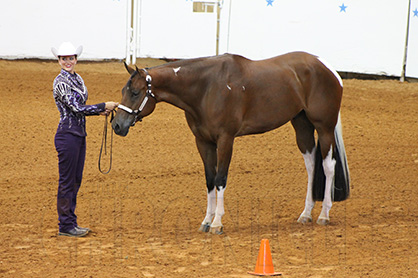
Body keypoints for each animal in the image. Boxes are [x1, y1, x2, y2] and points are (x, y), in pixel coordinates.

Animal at [111, 51, 350, 233]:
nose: (117, 125)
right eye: (123, 91)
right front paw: (206, 221)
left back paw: (324, 215)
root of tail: (329, 69)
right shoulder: (203, 142)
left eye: (135, 92)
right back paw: (305, 214)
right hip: (302, 126)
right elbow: (209, 179)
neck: (206, 88)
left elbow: (220, 178)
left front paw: (217, 223)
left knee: (328, 166)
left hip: (324, 128)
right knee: (311, 166)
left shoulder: (225, 139)